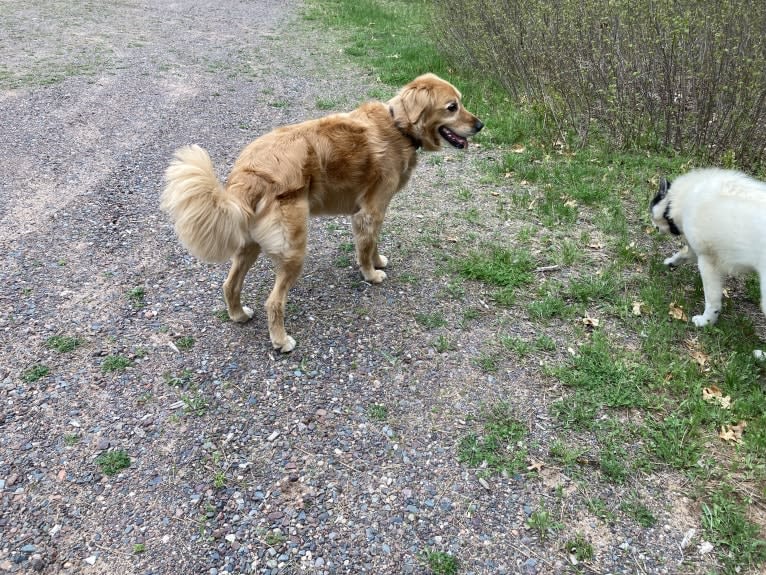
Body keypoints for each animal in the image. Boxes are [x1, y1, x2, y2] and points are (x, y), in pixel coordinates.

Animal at [161, 72, 484, 352]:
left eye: (461, 101)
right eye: (452, 107)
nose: (480, 125)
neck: (399, 127)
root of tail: (251, 172)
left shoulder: (373, 212)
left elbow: (373, 243)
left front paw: (378, 261)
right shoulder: (370, 211)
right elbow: (366, 247)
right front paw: (371, 273)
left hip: (249, 245)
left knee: (229, 284)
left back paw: (238, 315)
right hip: (293, 249)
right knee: (273, 302)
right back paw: (281, 340)